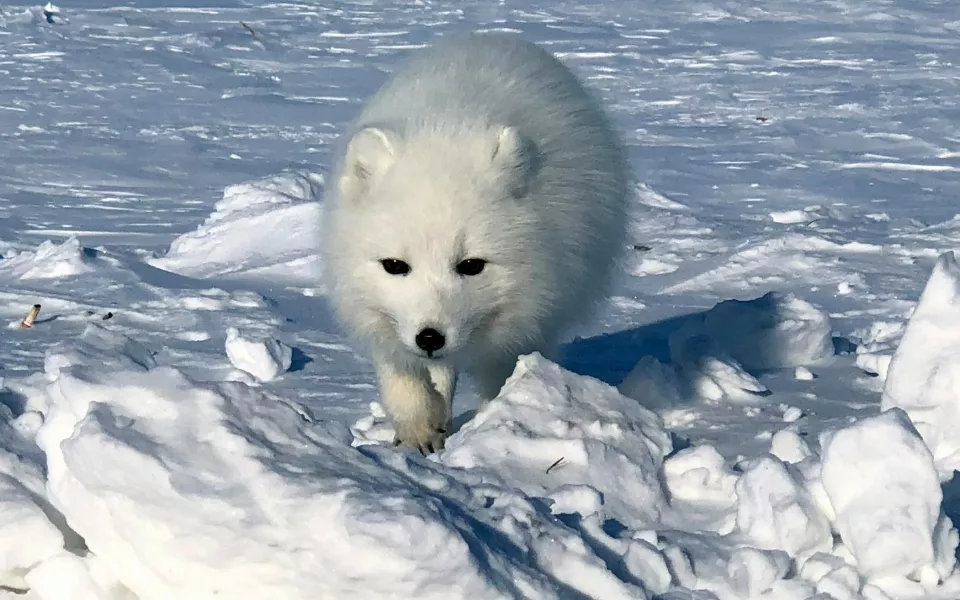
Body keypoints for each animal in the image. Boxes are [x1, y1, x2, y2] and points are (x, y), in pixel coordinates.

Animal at [324, 32, 632, 452]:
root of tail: (493, 36)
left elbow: (499, 377)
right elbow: (402, 377)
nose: (430, 337)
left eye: (471, 265)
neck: (446, 127)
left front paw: (496, 426)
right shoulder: (377, 315)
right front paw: (418, 432)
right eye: (395, 266)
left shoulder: (525, 322)